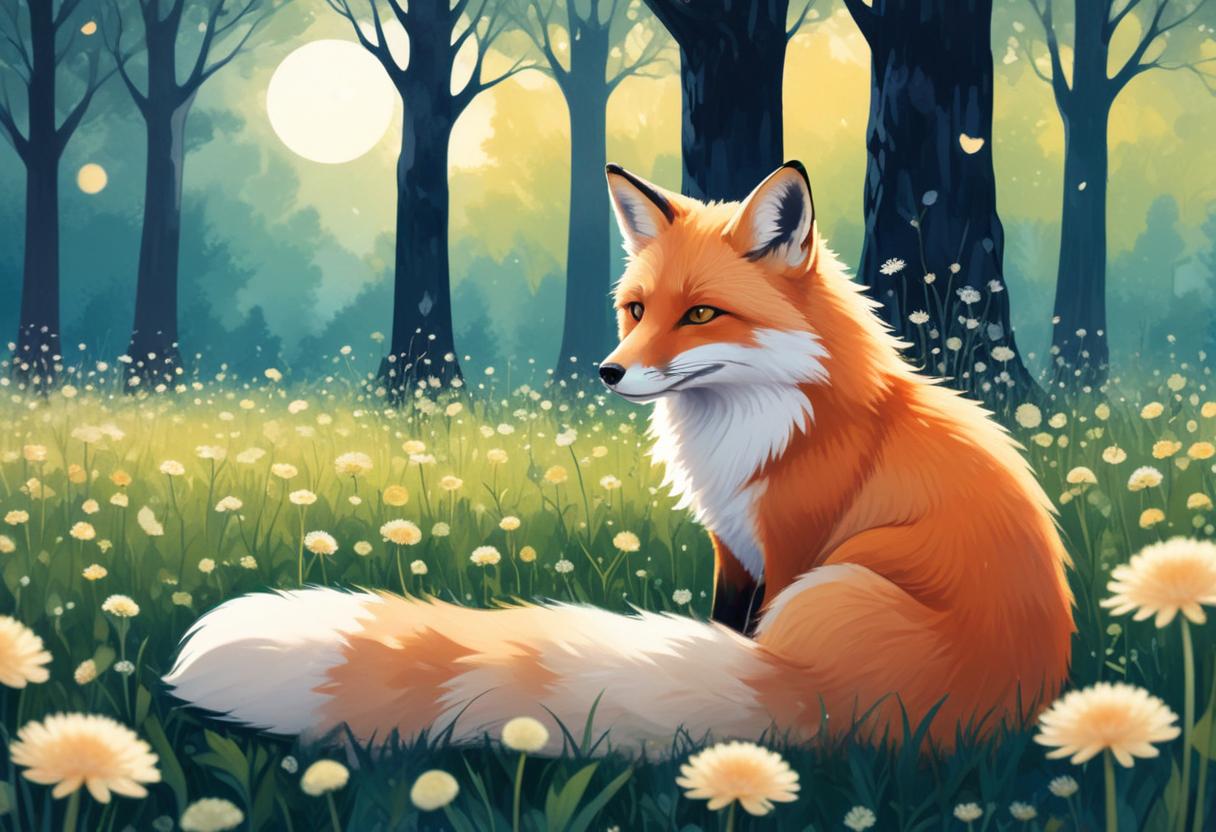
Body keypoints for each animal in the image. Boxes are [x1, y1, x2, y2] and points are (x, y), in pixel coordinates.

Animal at [164, 161, 1073, 755]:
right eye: (637, 309)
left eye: (701, 314)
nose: (608, 371)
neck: (756, 421)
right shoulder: (733, 548)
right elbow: (720, 624)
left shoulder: (788, 547)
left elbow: (729, 633)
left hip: (831, 583)